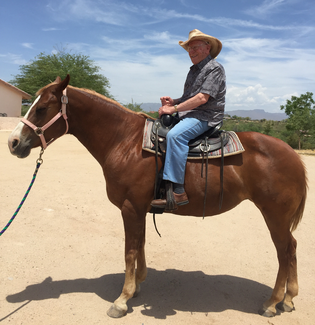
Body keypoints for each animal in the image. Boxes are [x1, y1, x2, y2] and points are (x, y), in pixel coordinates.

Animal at [8, 75, 308, 316]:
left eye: (42, 108)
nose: (13, 143)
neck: (124, 141)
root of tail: (293, 154)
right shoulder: (139, 208)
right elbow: (140, 244)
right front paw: (138, 284)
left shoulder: (129, 207)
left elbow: (129, 250)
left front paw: (122, 299)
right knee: (291, 249)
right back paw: (288, 299)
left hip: (275, 215)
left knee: (285, 251)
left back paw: (272, 303)